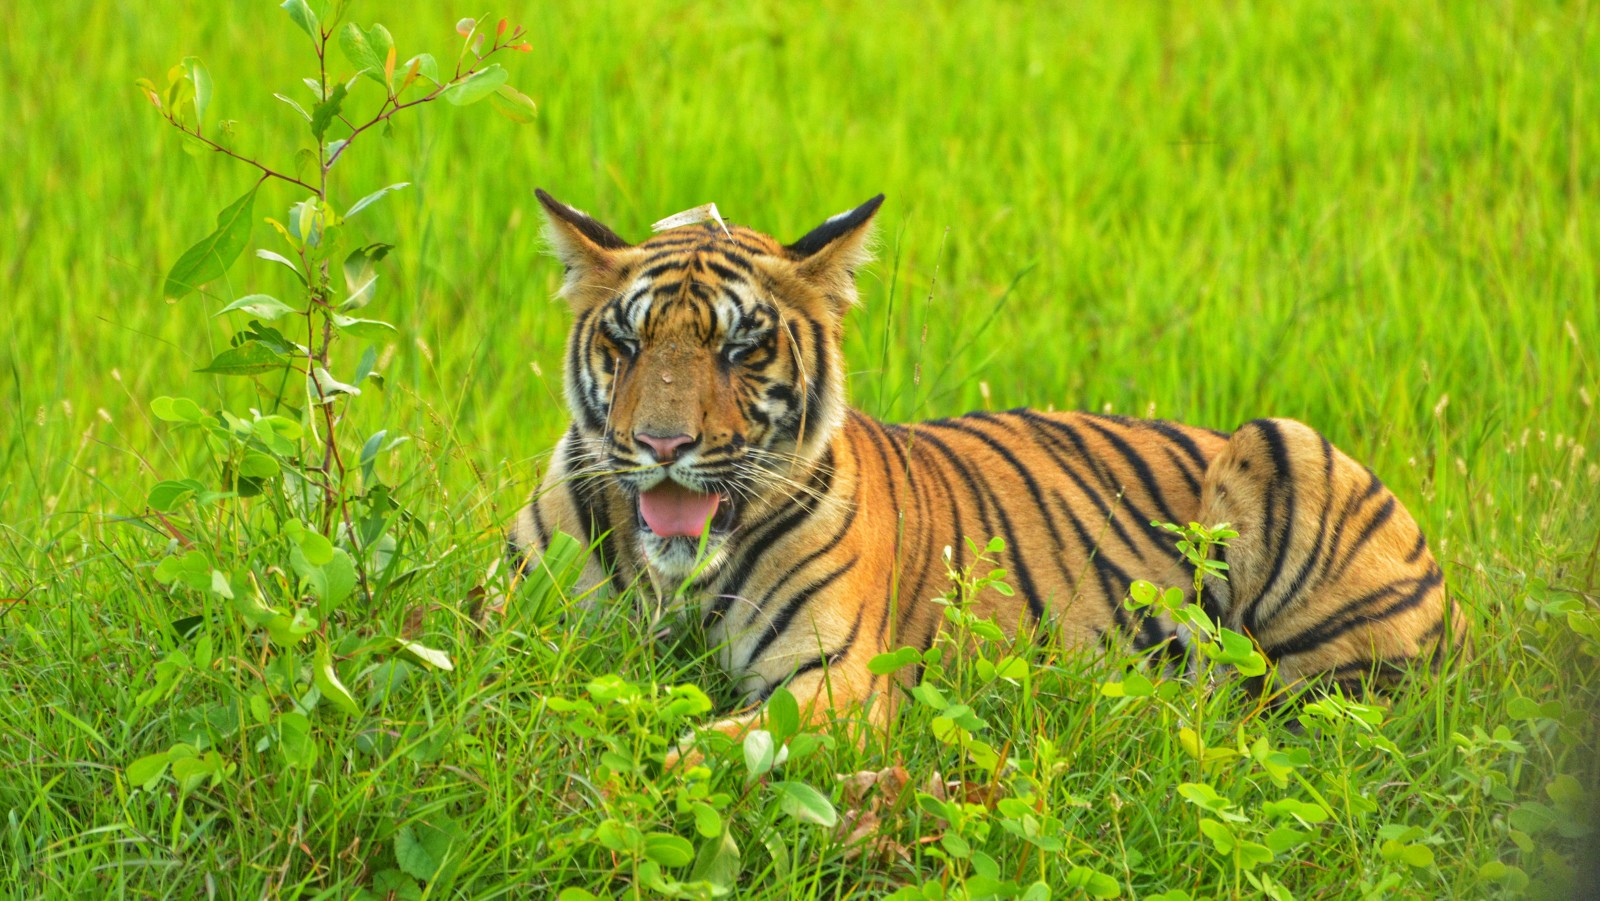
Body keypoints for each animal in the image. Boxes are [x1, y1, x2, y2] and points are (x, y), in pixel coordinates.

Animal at [508, 188, 1465, 755]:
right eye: (628, 342)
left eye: (740, 349)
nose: (662, 445)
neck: (671, 577)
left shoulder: (832, 680)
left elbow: (705, 746)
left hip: (1282, 447)